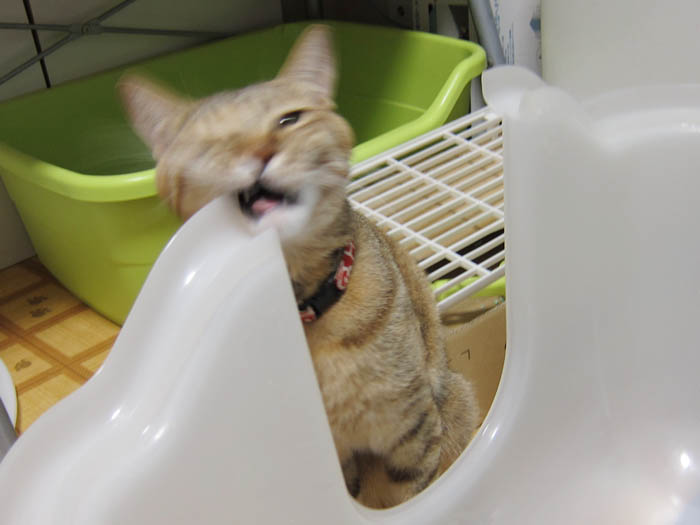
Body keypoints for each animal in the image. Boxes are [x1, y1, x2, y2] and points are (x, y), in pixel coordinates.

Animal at [119, 24, 479, 509]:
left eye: (289, 120)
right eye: (209, 144)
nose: (260, 153)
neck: (304, 312)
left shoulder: (411, 433)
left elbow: (404, 496)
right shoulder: (334, 460)